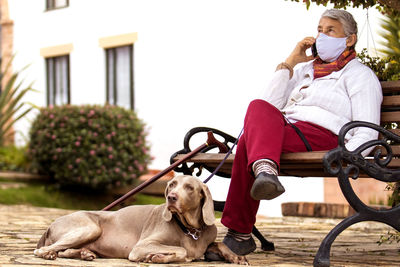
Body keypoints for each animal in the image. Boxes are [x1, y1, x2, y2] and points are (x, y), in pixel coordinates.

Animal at [33, 175, 247, 264]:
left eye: (189, 188)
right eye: (172, 184)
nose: (171, 198)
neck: (191, 229)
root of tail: (51, 224)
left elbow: (219, 244)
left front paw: (236, 257)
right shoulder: (140, 246)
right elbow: (182, 250)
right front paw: (156, 257)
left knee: (64, 251)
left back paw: (85, 254)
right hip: (90, 228)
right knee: (42, 250)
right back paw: (49, 254)